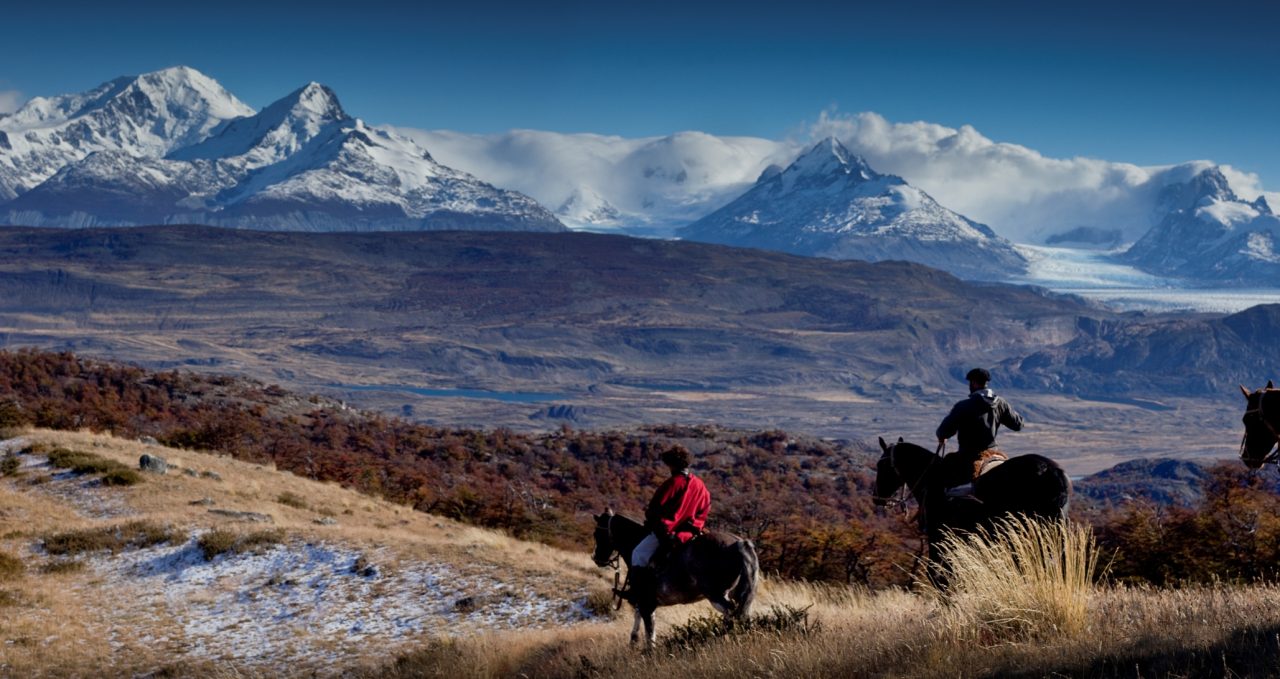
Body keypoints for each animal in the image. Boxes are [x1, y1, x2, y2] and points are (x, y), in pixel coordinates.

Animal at [591, 507, 757, 645]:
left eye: (597, 534)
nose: (597, 558)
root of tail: (738, 543)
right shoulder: (644, 601)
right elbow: (640, 621)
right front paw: (633, 642)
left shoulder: (646, 603)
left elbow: (650, 634)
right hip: (737, 594)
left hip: (716, 595)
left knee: (732, 614)